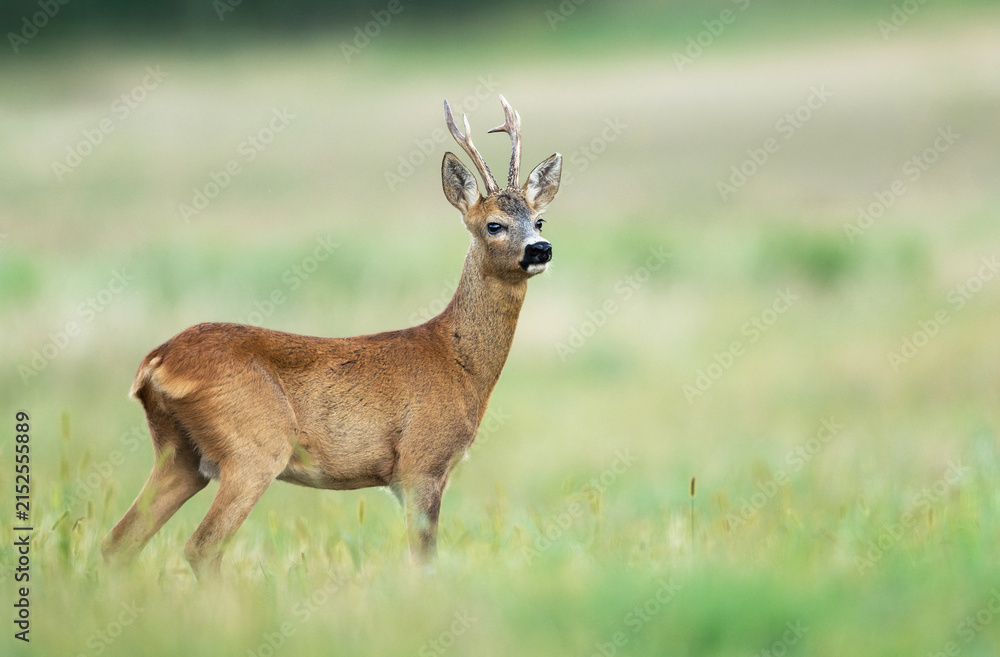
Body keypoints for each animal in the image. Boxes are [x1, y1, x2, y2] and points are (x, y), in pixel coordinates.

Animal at [101, 95, 562, 578]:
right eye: (494, 224)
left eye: (540, 220)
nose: (540, 249)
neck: (458, 361)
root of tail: (155, 363)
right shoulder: (422, 461)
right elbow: (424, 561)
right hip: (253, 448)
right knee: (201, 545)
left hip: (179, 454)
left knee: (118, 542)